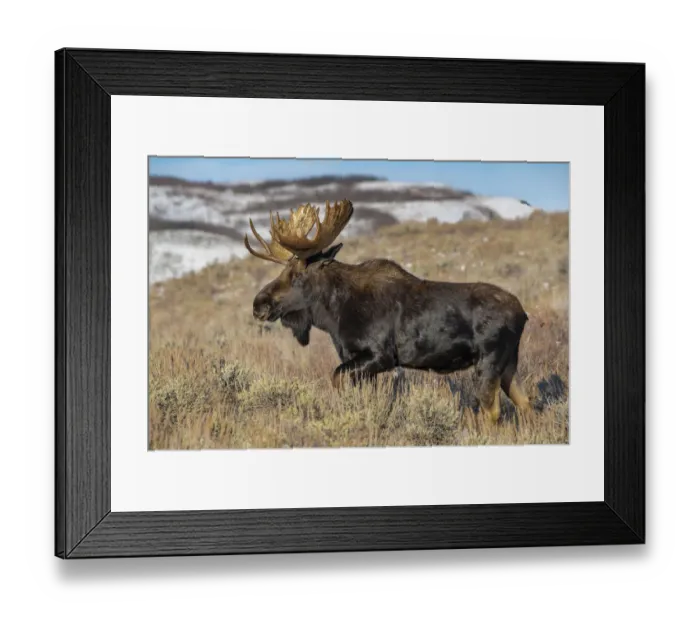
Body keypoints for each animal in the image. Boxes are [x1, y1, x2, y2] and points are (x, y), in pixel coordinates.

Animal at [244, 199, 531, 423]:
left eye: (297, 275)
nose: (259, 304)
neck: (333, 315)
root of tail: (523, 314)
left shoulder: (380, 356)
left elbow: (337, 379)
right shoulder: (360, 361)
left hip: (489, 360)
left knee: (492, 411)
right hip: (509, 363)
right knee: (525, 403)